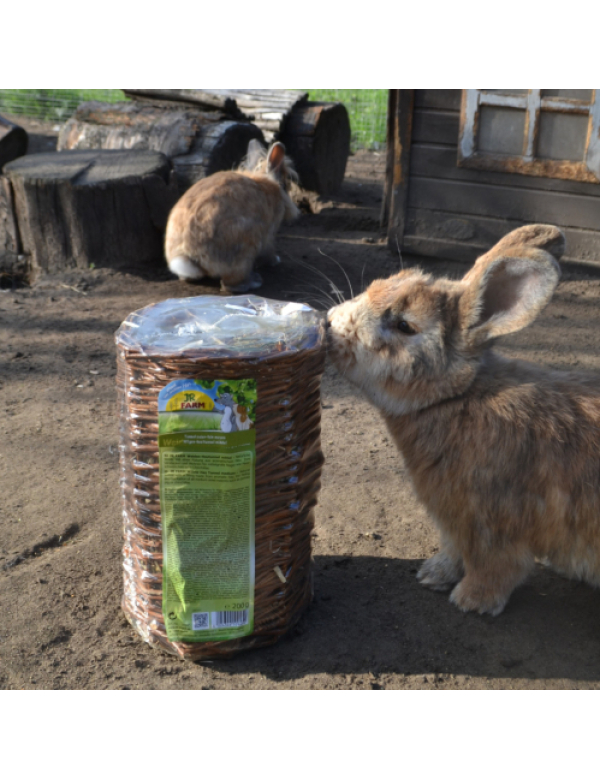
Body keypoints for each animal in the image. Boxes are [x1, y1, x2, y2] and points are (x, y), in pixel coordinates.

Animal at [165, 140, 298, 292]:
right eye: (285, 185)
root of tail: (187, 256)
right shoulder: (269, 235)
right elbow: (268, 250)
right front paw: (275, 260)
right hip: (246, 244)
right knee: (229, 283)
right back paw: (253, 282)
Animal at [328, 224, 600, 616]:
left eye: (404, 325)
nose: (328, 322)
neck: (457, 397)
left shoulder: (489, 524)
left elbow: (496, 566)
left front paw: (471, 601)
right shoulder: (453, 521)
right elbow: (453, 550)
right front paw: (432, 575)